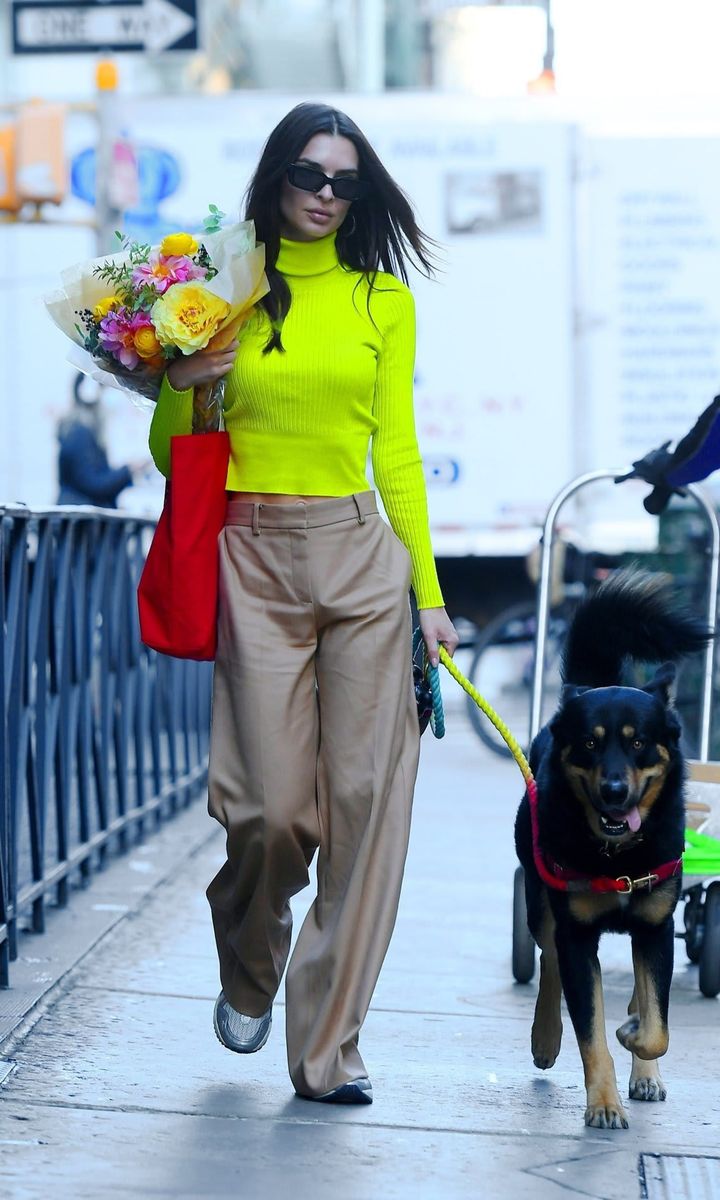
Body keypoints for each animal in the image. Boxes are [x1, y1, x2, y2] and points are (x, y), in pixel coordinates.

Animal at [513, 568, 710, 1123]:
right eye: (590, 743)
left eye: (639, 742)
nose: (616, 791)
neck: (619, 856)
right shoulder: (579, 936)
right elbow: (592, 1032)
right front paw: (603, 1103)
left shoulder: (656, 929)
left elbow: (656, 1027)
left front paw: (634, 1036)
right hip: (539, 897)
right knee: (548, 956)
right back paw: (545, 1037)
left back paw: (643, 1069)